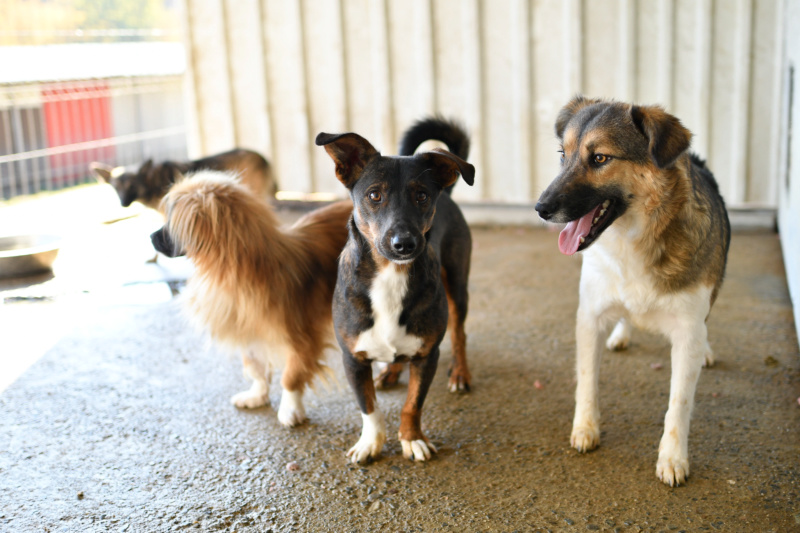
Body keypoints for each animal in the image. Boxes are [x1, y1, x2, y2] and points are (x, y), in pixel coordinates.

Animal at [314, 117, 476, 462]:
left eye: (422, 196)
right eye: (374, 195)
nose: (404, 244)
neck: (391, 276)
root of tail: (449, 194)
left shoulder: (427, 356)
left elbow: (412, 404)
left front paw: (412, 439)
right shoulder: (352, 358)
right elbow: (368, 406)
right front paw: (371, 442)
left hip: (458, 286)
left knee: (459, 334)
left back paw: (460, 374)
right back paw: (390, 373)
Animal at [536, 96, 732, 486]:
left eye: (600, 158)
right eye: (563, 154)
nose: (540, 208)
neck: (633, 240)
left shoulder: (687, 331)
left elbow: (678, 404)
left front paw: (673, 458)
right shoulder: (589, 316)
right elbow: (587, 381)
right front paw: (586, 428)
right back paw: (622, 334)